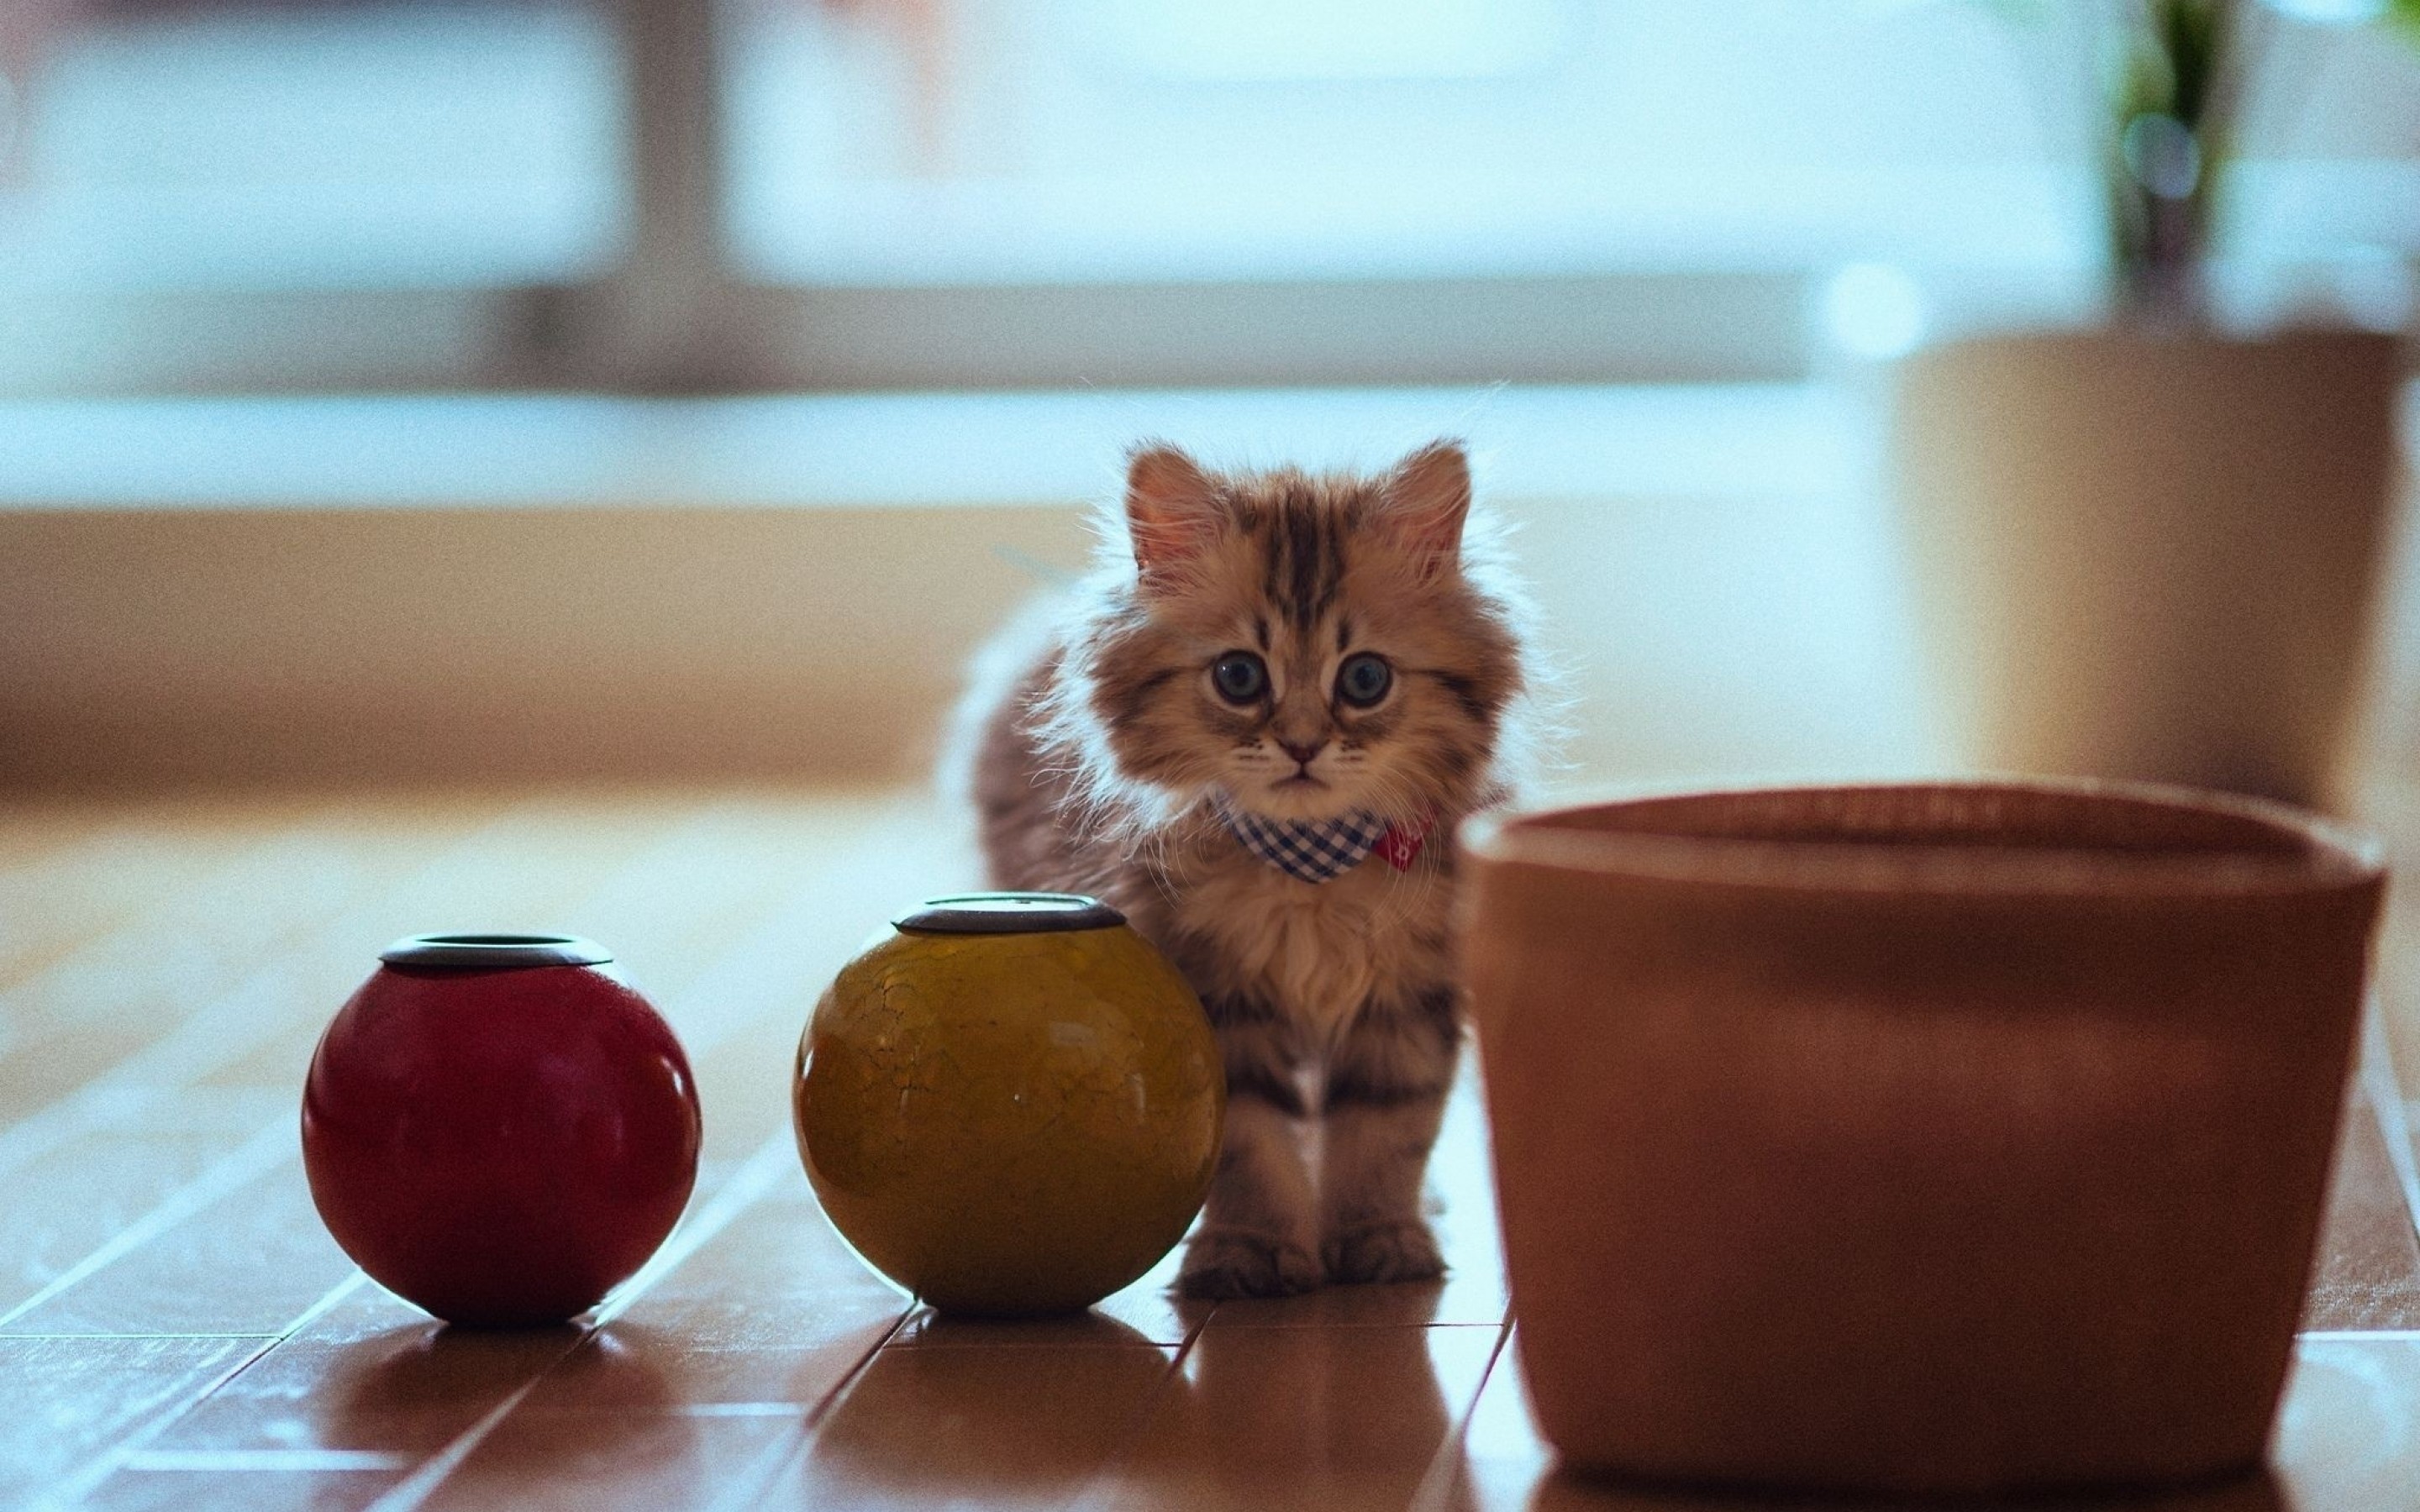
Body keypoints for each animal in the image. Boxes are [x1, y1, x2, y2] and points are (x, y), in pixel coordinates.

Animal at [958, 435, 1529, 1296]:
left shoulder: (1408, 997)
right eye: (1239, 677)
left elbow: (1387, 1135)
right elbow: (1252, 1145)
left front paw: (1380, 1239)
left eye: (1365, 679)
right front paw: (1250, 1252)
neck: (1308, 872)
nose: (1301, 745)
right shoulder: (1214, 1001)